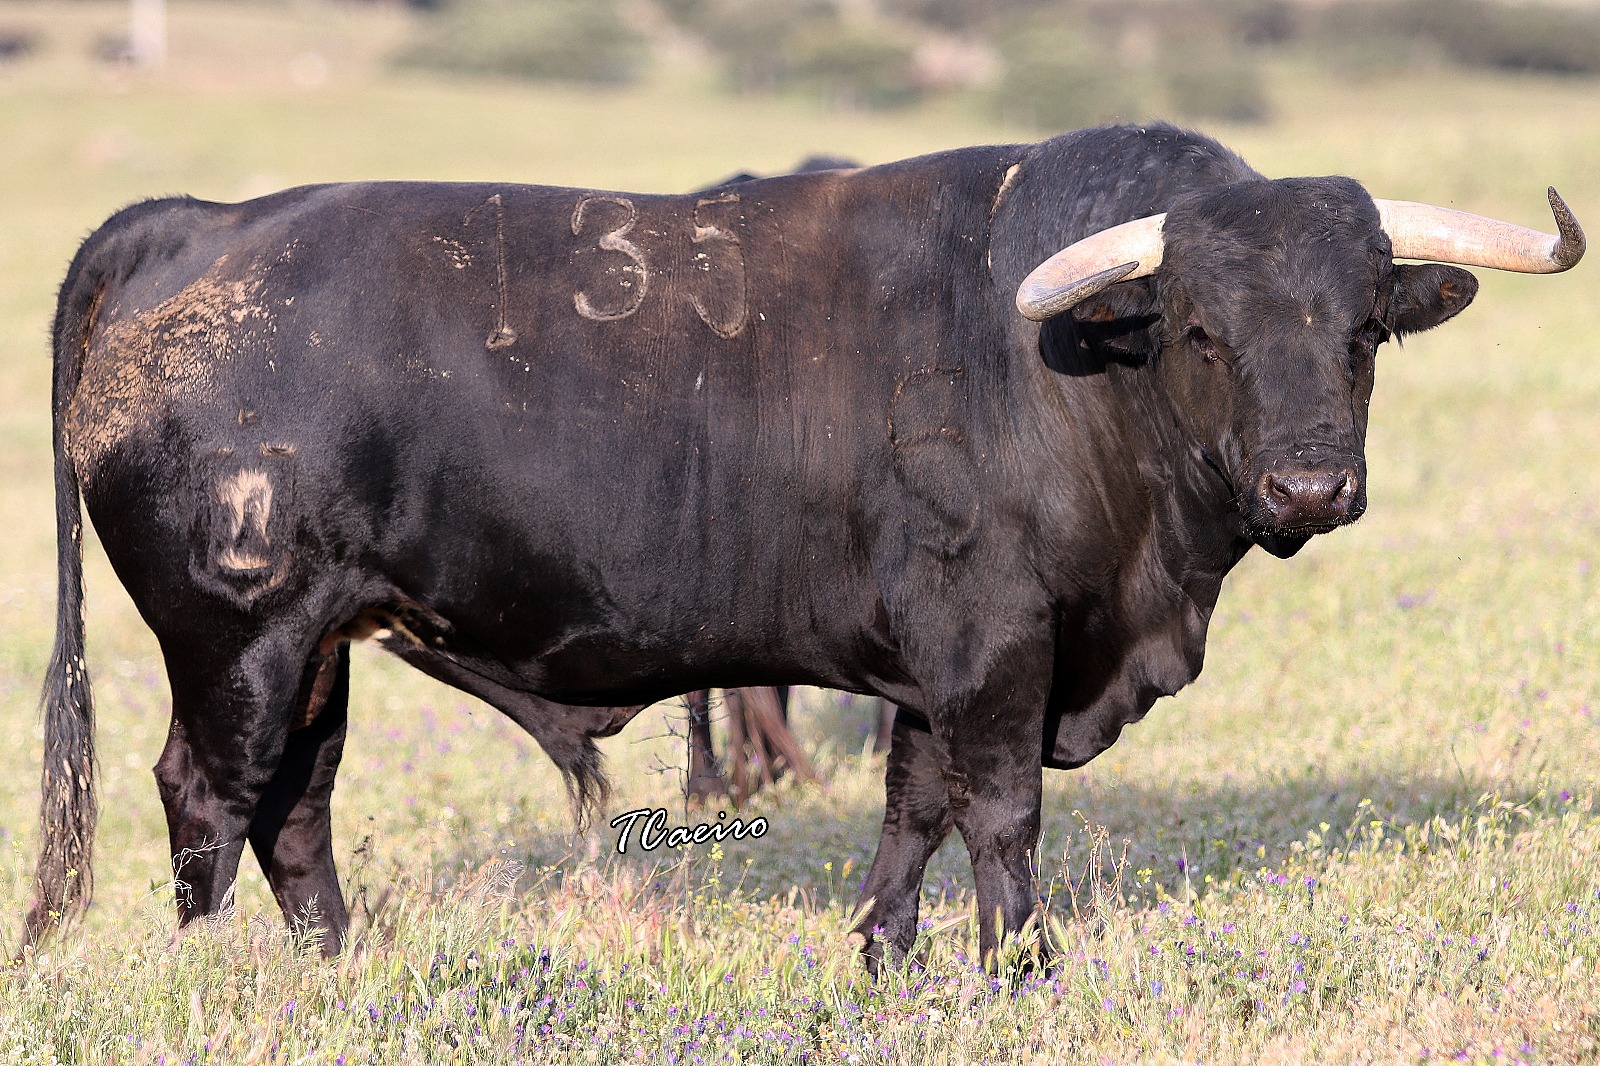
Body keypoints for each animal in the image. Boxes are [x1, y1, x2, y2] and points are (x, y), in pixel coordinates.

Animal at [24, 124, 1582, 968]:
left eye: (1364, 326)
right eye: (1202, 326)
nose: (1311, 482)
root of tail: (198, 222)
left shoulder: (935, 665)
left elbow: (915, 809)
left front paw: (889, 957)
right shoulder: (996, 644)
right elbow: (1000, 813)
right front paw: (1022, 969)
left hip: (319, 644)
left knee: (297, 805)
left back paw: (332, 970)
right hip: (236, 635)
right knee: (207, 796)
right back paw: (218, 978)